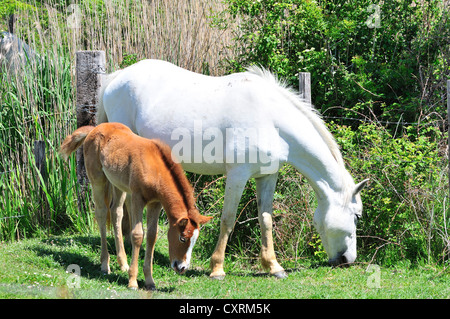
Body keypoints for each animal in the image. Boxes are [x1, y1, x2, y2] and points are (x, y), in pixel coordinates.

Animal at [96, 60, 368, 280]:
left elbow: (266, 220)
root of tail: (116, 78)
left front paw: (274, 266)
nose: (348, 260)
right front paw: (217, 269)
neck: (271, 119)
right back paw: (120, 263)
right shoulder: (238, 175)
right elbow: (228, 219)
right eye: (356, 216)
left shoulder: (267, 176)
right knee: (115, 210)